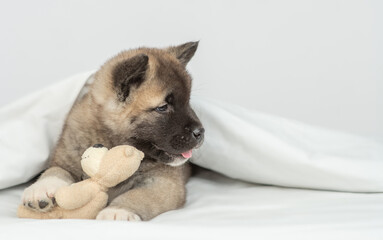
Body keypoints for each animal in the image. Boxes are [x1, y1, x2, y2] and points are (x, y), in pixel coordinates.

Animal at [21, 41, 206, 221]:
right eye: (162, 107)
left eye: (188, 102)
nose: (200, 132)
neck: (111, 143)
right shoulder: (66, 157)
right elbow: (56, 170)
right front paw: (41, 188)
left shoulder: (165, 183)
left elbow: (138, 195)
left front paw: (117, 211)